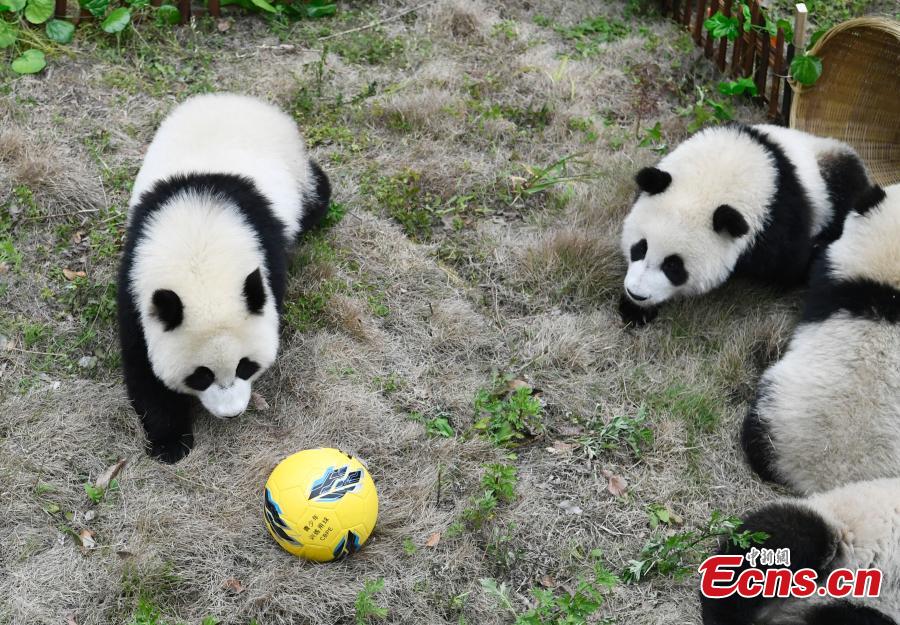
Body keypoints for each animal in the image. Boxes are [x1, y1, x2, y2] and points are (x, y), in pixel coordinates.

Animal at [118, 93, 331, 463]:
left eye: (246, 366)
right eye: (201, 376)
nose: (232, 413)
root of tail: (238, 99)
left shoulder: (266, 257)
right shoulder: (135, 282)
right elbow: (143, 366)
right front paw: (170, 443)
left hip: (295, 167)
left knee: (316, 195)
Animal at [618, 123, 870, 326]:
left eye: (673, 266)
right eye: (640, 247)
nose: (637, 293)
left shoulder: (778, 217)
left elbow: (792, 262)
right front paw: (634, 310)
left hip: (831, 177)